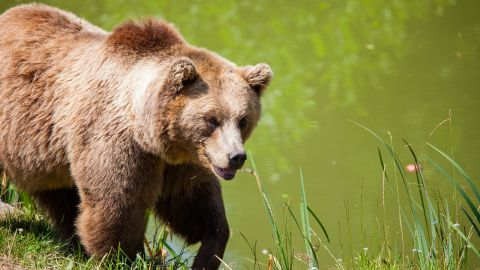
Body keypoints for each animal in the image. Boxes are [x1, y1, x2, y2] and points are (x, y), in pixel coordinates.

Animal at [0, 3, 272, 268]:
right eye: (211, 119)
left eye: (243, 120)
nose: (236, 156)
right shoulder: (117, 141)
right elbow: (118, 204)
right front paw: (124, 256)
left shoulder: (182, 160)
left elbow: (193, 203)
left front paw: (208, 252)